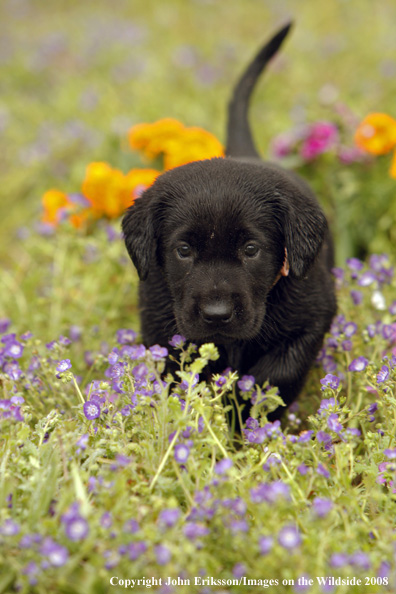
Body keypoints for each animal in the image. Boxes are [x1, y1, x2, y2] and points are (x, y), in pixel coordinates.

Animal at [122, 25, 336, 418]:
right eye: (183, 250)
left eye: (251, 249)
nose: (217, 314)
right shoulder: (160, 325)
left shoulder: (311, 317)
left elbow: (278, 373)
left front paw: (248, 412)